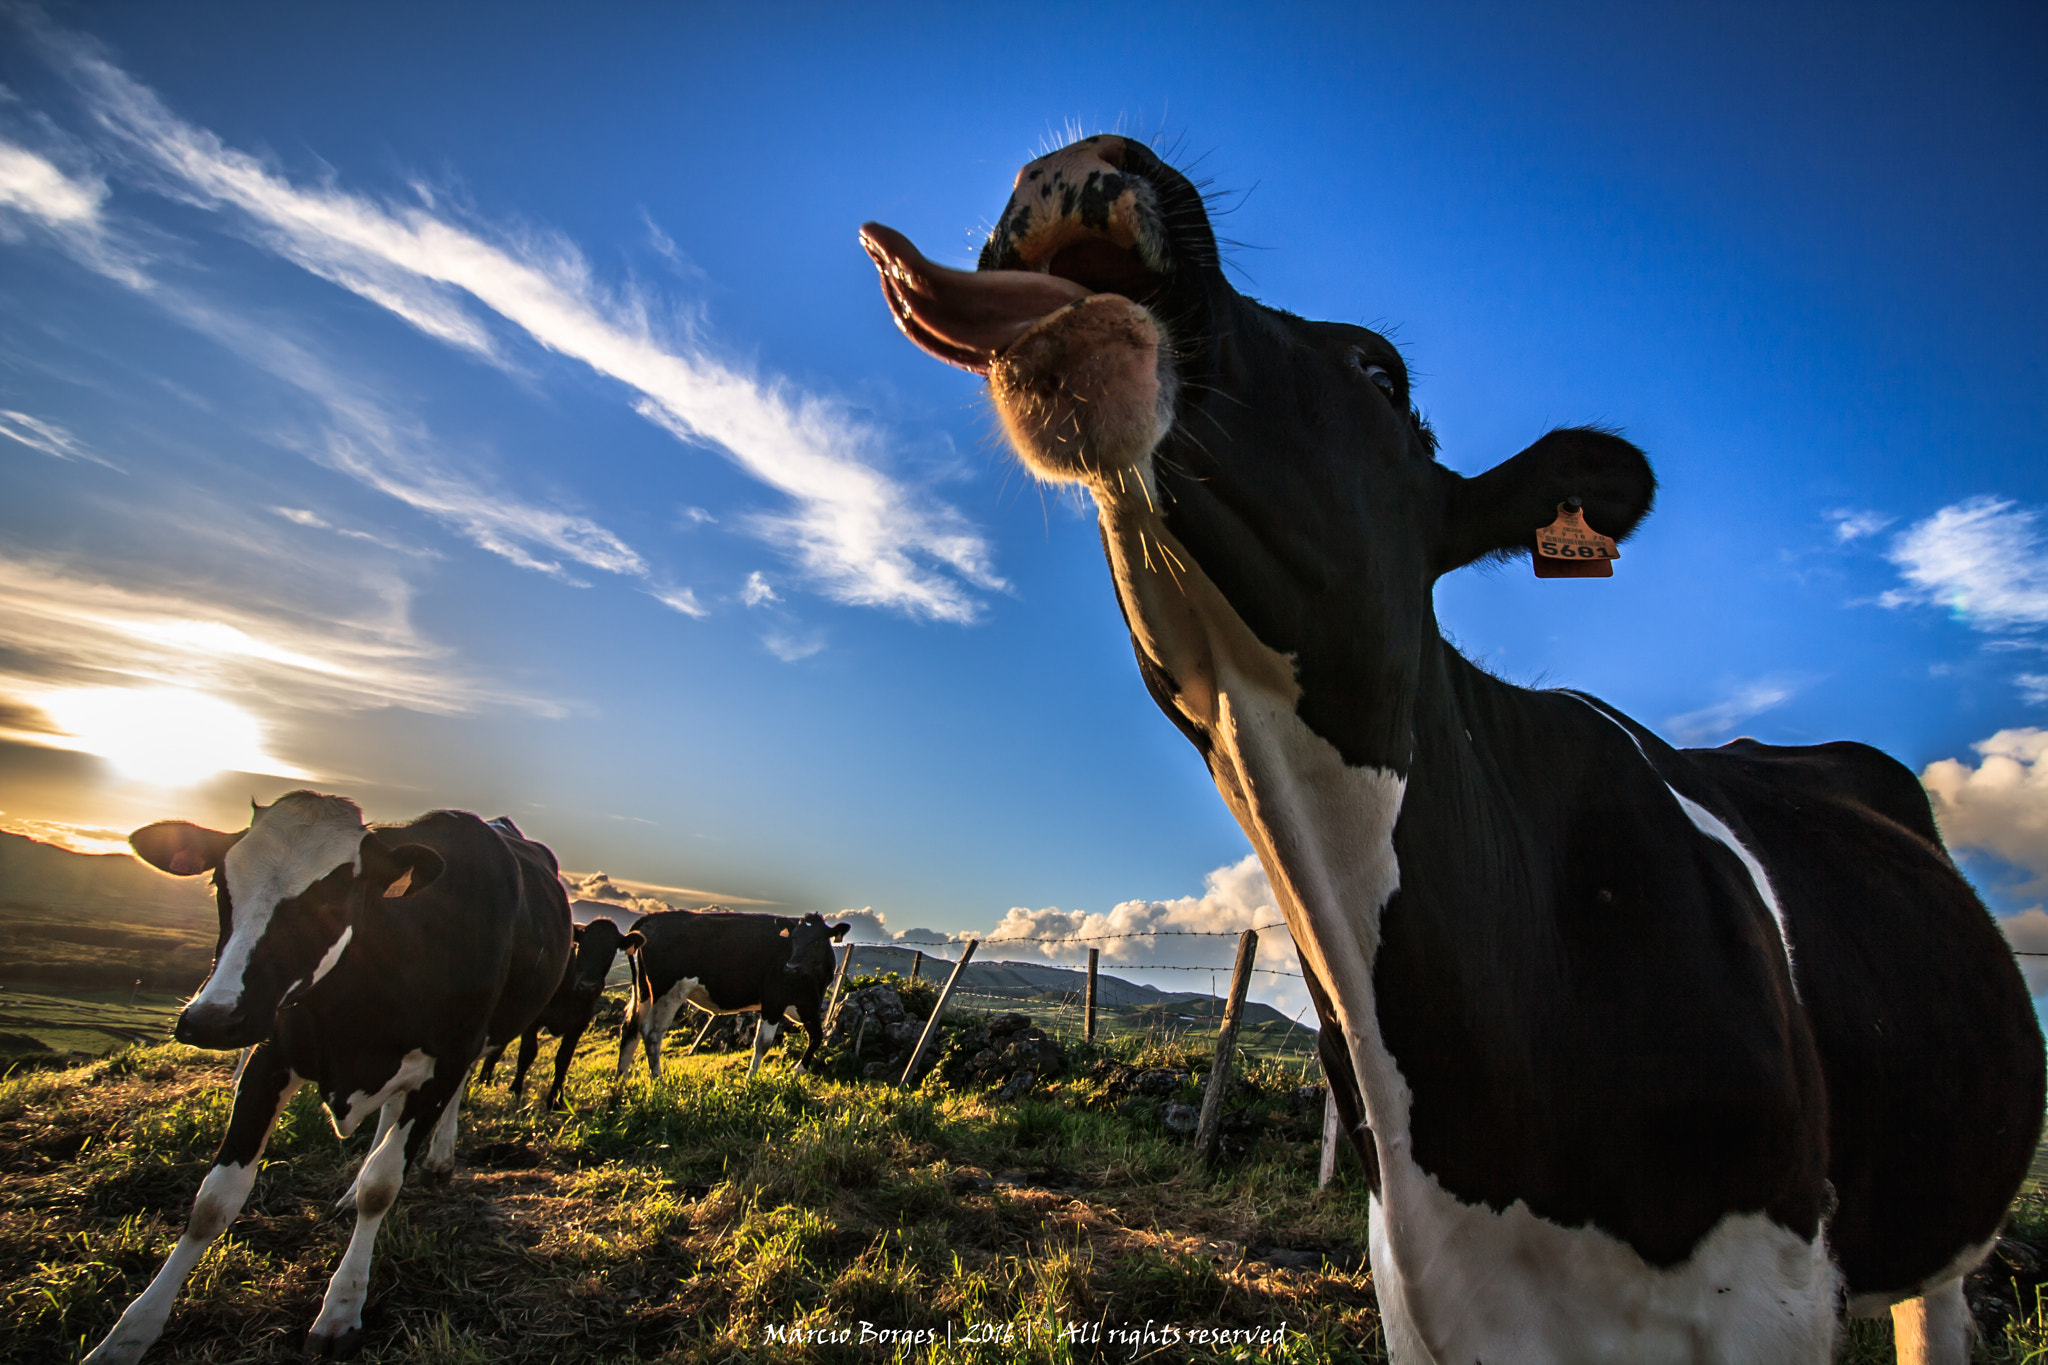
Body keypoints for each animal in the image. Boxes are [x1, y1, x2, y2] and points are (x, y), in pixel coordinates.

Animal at [84, 794, 571, 1363]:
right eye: (220, 884)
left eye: (334, 895)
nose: (212, 1019)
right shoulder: (269, 1055)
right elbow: (213, 1201)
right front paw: (129, 1335)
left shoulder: (448, 1059)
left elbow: (381, 1187)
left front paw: (341, 1310)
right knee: (387, 1116)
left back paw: (439, 1160)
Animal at [478, 916, 641, 1110]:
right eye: (581, 947)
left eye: (610, 952)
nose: (588, 986)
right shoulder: (534, 1021)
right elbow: (527, 1053)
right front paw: (516, 1089)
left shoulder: (578, 1026)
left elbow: (563, 1060)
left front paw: (555, 1100)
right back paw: (483, 1081)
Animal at [615, 910, 850, 1081]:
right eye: (793, 939)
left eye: (817, 940)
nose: (790, 968)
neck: (812, 981)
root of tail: (654, 917)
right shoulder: (773, 1001)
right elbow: (762, 1043)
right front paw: (750, 1081)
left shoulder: (808, 1005)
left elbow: (817, 1036)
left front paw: (799, 1070)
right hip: (667, 990)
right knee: (652, 1033)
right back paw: (657, 1079)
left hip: (644, 989)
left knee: (631, 1028)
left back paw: (622, 1080)